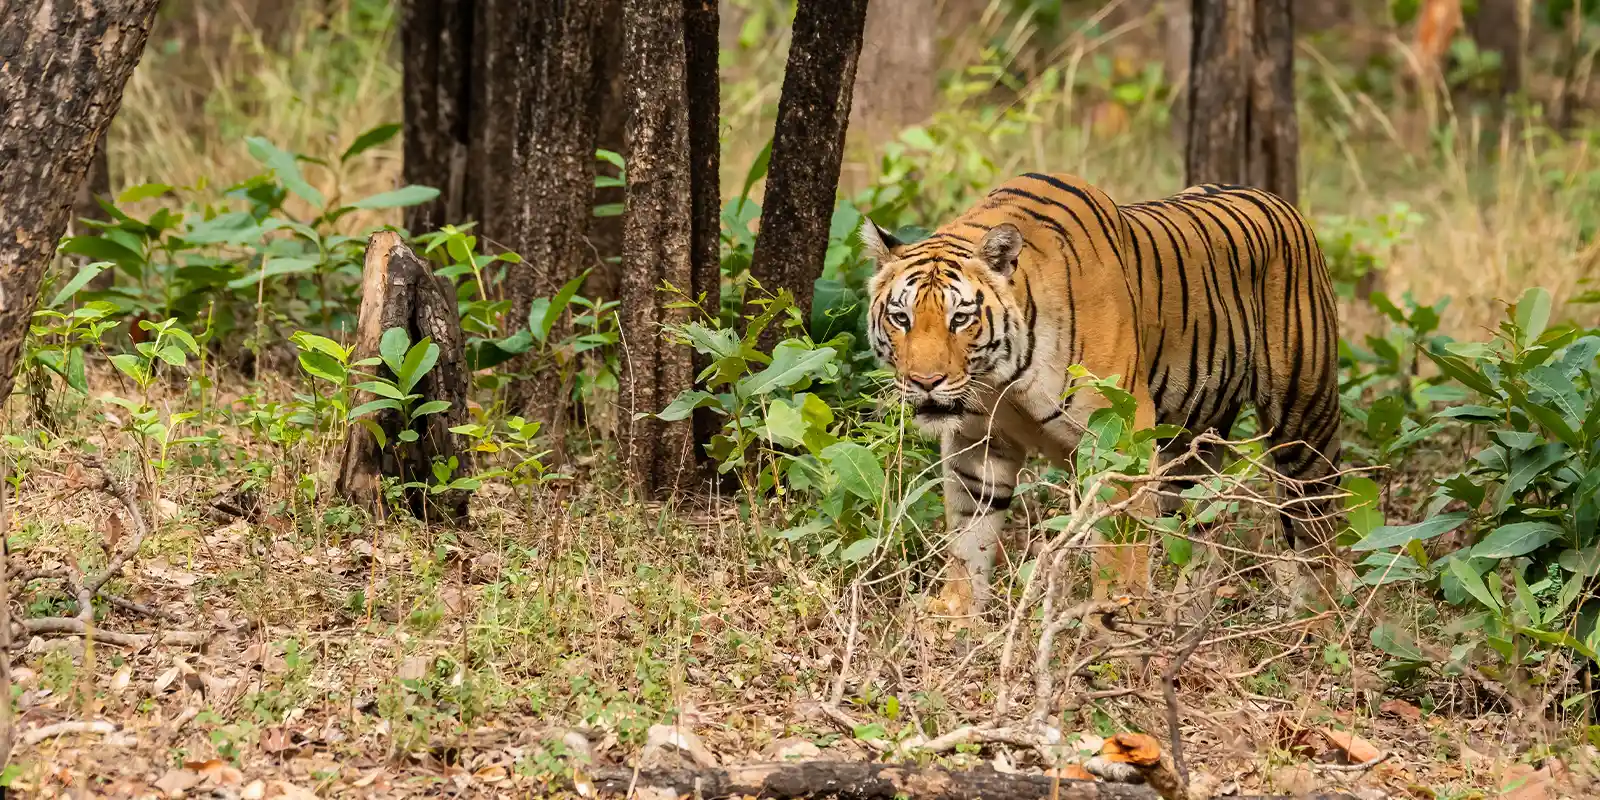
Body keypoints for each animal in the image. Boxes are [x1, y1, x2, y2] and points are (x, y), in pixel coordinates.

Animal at [861, 172, 1342, 619]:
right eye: (901, 318)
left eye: (960, 318)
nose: (925, 381)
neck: (1000, 378)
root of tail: (1277, 201)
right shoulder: (979, 440)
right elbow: (969, 535)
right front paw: (955, 615)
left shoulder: (1120, 438)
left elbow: (1118, 545)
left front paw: (1113, 621)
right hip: (1187, 447)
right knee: (1203, 530)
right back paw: (1186, 618)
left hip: (1304, 418)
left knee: (1318, 524)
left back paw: (1314, 618)